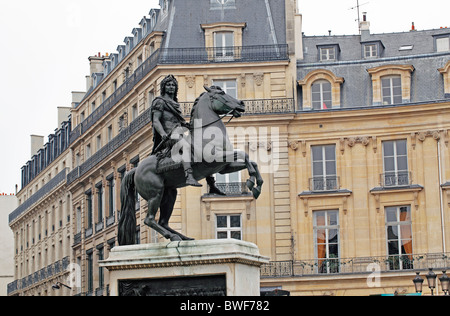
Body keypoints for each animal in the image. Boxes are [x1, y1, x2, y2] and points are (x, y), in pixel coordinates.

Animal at [118, 86, 264, 244]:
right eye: (221, 94)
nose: (242, 104)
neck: (206, 134)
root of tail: (136, 169)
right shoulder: (217, 158)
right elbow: (245, 155)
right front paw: (251, 182)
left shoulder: (224, 166)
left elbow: (251, 161)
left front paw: (257, 185)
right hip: (155, 194)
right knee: (149, 220)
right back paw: (173, 236)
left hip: (170, 194)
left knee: (163, 221)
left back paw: (183, 237)